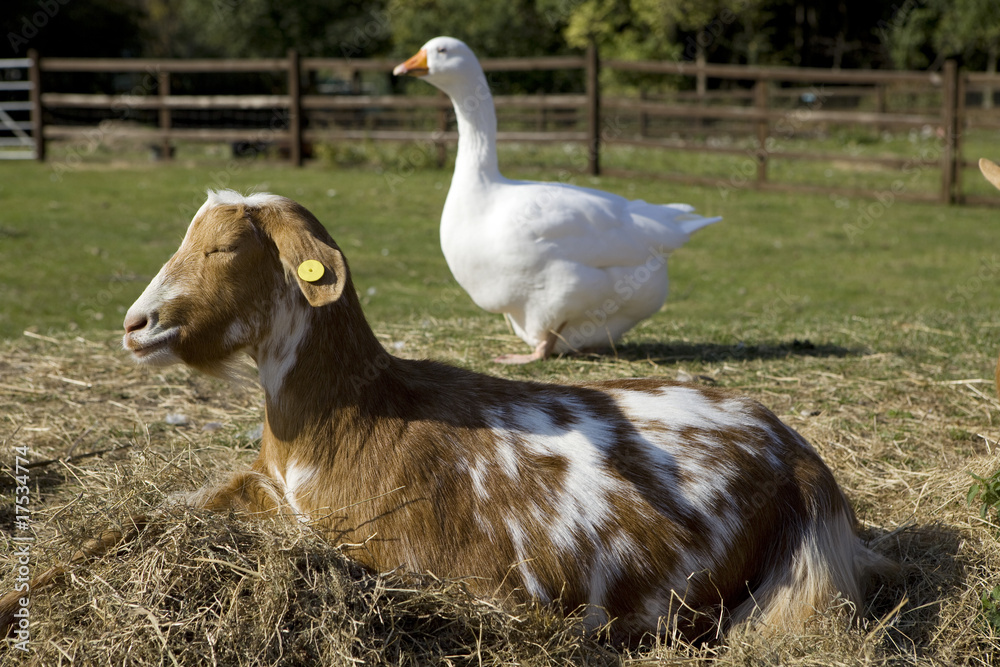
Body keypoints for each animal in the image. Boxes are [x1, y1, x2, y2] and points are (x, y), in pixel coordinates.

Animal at [3, 190, 891, 643]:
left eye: (225, 248)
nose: (137, 324)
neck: (340, 418)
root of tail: (802, 459)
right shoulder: (251, 490)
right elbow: (129, 523)